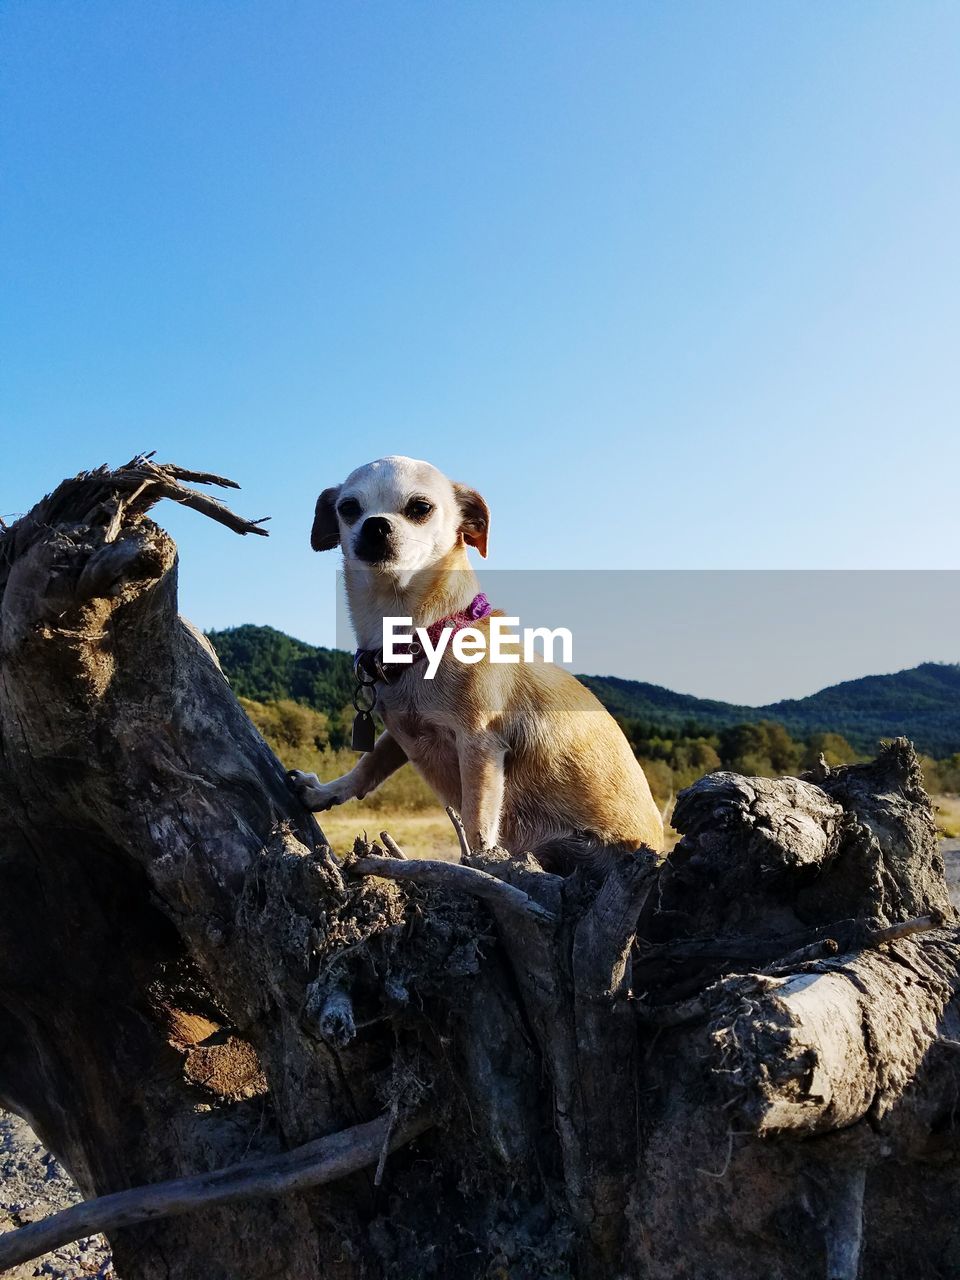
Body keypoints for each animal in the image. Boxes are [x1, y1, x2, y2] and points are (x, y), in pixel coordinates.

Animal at [289, 455, 665, 865]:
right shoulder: (399, 733)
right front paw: (327, 791)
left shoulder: (479, 747)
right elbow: (368, 765)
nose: (375, 525)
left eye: (420, 508)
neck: (423, 635)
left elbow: (476, 820)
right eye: (348, 508)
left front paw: (481, 861)